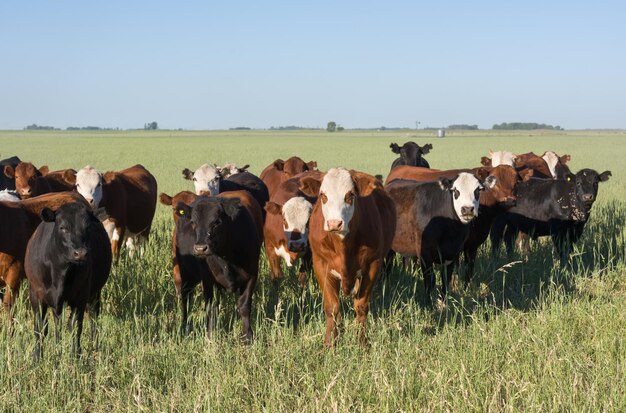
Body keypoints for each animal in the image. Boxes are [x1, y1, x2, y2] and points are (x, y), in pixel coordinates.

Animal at [23, 201, 112, 358]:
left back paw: (94, 347)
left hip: (95, 294)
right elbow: (40, 327)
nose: (81, 253)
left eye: (88, 227)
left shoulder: (81, 297)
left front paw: (75, 356)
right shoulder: (36, 294)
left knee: (93, 317)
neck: (61, 271)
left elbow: (75, 326)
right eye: (63, 228)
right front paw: (37, 357)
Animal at [174, 196, 260, 342]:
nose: (200, 248)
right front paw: (210, 336)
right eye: (193, 222)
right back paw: (184, 328)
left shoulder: (252, 275)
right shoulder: (208, 279)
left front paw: (248, 336)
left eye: (217, 222)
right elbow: (211, 307)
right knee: (186, 299)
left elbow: (244, 306)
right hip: (186, 273)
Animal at [298, 167, 394, 344]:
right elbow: (332, 307)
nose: (334, 223)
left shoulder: (373, 265)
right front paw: (330, 343)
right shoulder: (321, 264)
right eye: (323, 195)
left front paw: (362, 342)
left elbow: (361, 306)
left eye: (350, 195)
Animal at [382, 171, 494, 302]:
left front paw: (444, 303)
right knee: (387, 267)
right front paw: (428, 304)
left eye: (478, 190)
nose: (467, 209)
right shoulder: (425, 254)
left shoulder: (452, 253)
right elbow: (429, 280)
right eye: (455, 190)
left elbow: (446, 279)